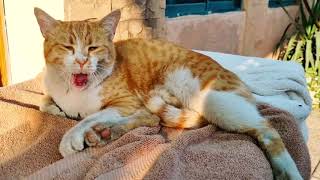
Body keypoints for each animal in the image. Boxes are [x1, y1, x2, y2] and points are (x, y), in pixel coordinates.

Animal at [35, 7, 302, 179]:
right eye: (67, 47)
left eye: (93, 48)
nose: (81, 61)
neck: (74, 91)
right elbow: (44, 103)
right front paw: (59, 111)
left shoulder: (127, 102)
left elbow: (90, 116)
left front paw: (71, 136)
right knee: (153, 118)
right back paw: (105, 134)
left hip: (214, 100)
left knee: (267, 128)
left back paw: (288, 171)